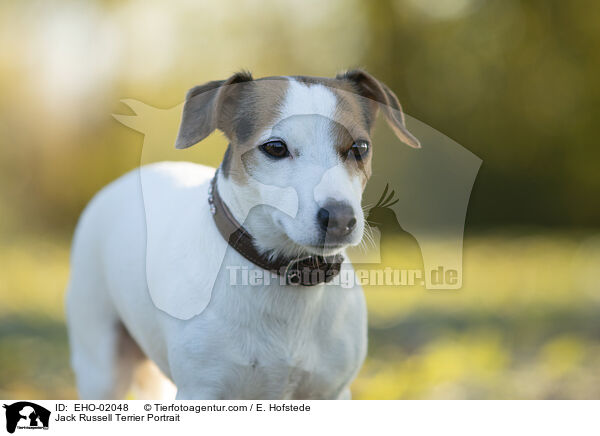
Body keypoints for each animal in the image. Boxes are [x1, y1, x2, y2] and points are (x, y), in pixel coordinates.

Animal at [65, 68, 420, 398]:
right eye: (275, 147)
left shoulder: (330, 392)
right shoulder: (201, 391)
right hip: (100, 364)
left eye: (360, 147)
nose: (340, 219)